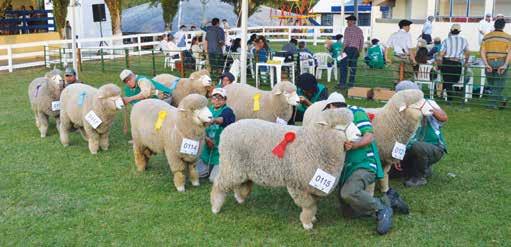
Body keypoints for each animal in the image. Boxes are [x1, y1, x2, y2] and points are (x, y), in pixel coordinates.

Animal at [210, 108, 362, 230]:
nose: (359, 135)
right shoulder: (297, 183)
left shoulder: (312, 184)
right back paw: (215, 207)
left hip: (240, 167)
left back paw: (239, 198)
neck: (316, 141)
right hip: (231, 164)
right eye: (340, 126)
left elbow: (313, 204)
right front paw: (307, 223)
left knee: (239, 184)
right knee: (219, 184)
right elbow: (309, 205)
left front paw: (311, 218)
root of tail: (228, 128)